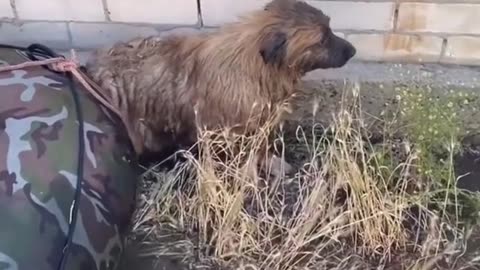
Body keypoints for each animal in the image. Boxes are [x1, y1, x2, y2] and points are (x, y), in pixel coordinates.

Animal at [84, 0, 356, 173]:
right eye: (322, 39)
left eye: (330, 27)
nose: (353, 51)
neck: (257, 64)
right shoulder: (231, 131)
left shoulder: (260, 123)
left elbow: (262, 147)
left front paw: (273, 164)